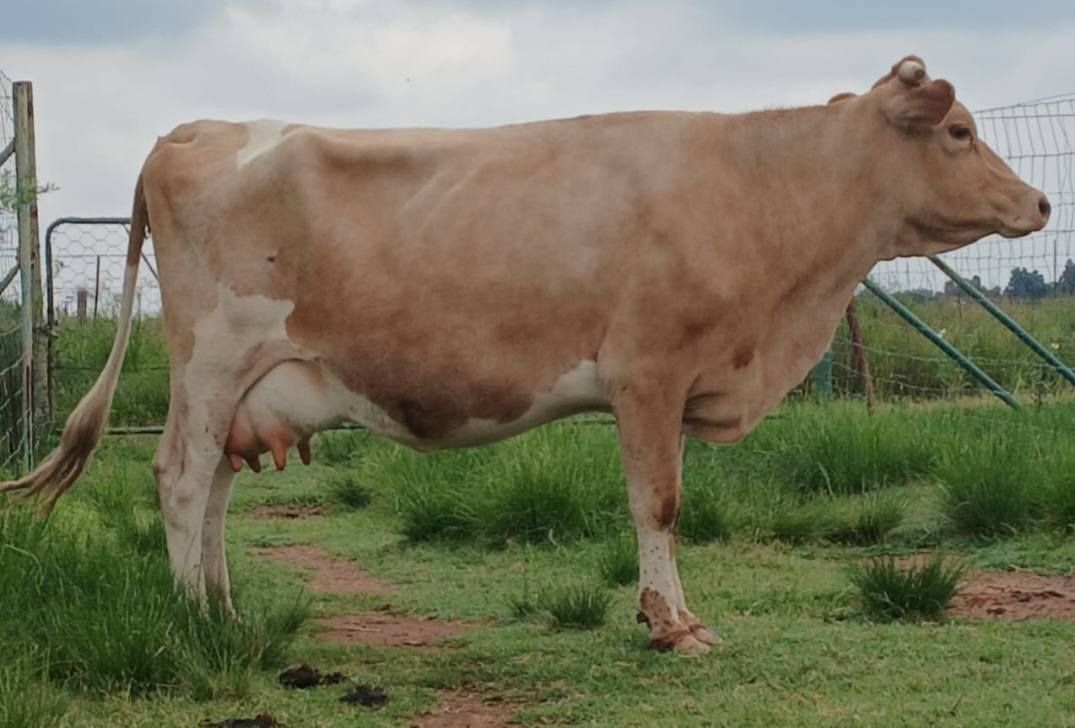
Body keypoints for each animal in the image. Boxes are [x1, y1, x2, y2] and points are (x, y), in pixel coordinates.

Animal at [1, 55, 1049, 654]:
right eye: (960, 132)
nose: (1039, 203)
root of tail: (193, 129)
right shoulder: (646, 372)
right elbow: (659, 504)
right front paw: (673, 625)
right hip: (212, 357)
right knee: (180, 477)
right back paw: (192, 625)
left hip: (243, 384)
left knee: (212, 487)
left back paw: (224, 613)